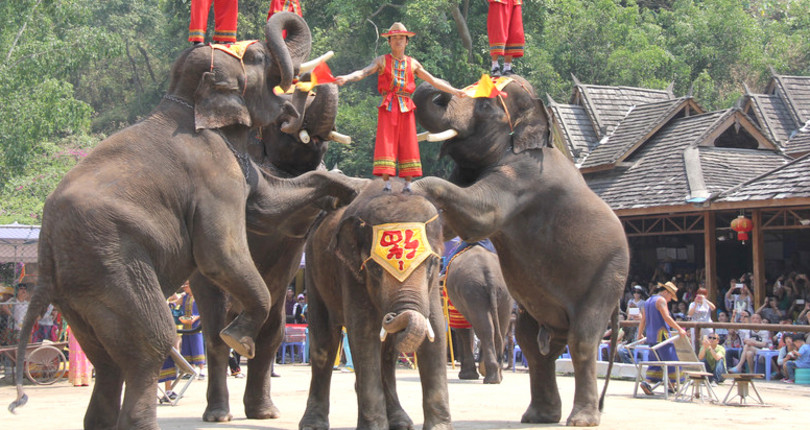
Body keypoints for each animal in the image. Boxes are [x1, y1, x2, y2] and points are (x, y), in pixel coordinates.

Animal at [189, 79, 354, 422]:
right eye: (281, 119)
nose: (315, 85)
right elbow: (269, 207)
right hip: (204, 282)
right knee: (215, 332)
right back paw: (218, 415)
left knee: (271, 330)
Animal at [296, 180, 452, 430]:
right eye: (375, 269)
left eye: (433, 263)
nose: (390, 316)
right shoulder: (349, 272)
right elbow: (363, 333)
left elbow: (435, 330)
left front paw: (439, 427)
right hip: (312, 269)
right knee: (324, 343)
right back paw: (312, 425)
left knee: (387, 354)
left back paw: (400, 422)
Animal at [442, 240, 512, 384]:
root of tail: (490, 275)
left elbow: (462, 328)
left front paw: (466, 375)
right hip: (503, 293)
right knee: (499, 328)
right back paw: (497, 375)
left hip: (471, 290)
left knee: (485, 329)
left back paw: (491, 377)